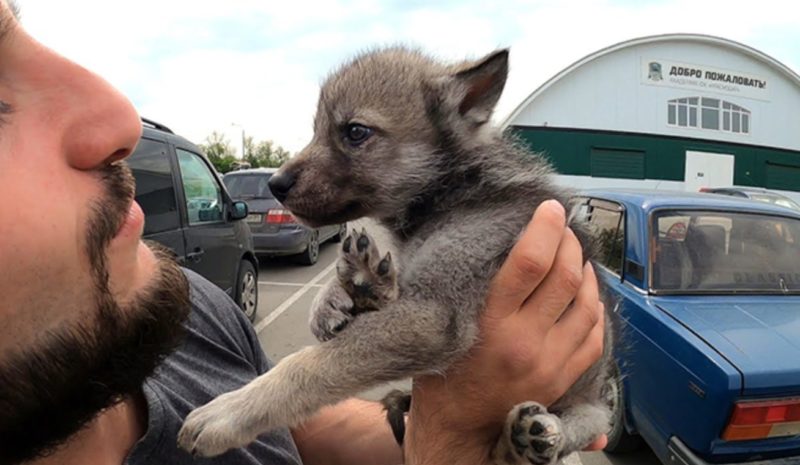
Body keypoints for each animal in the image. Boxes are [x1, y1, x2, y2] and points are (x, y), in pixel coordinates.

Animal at [180, 45, 612, 462]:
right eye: (316, 131)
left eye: (355, 132)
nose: (274, 185)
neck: (453, 191)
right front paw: (335, 298)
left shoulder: (433, 315)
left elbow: (310, 365)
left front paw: (230, 412)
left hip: (590, 402)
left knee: (586, 423)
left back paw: (533, 438)